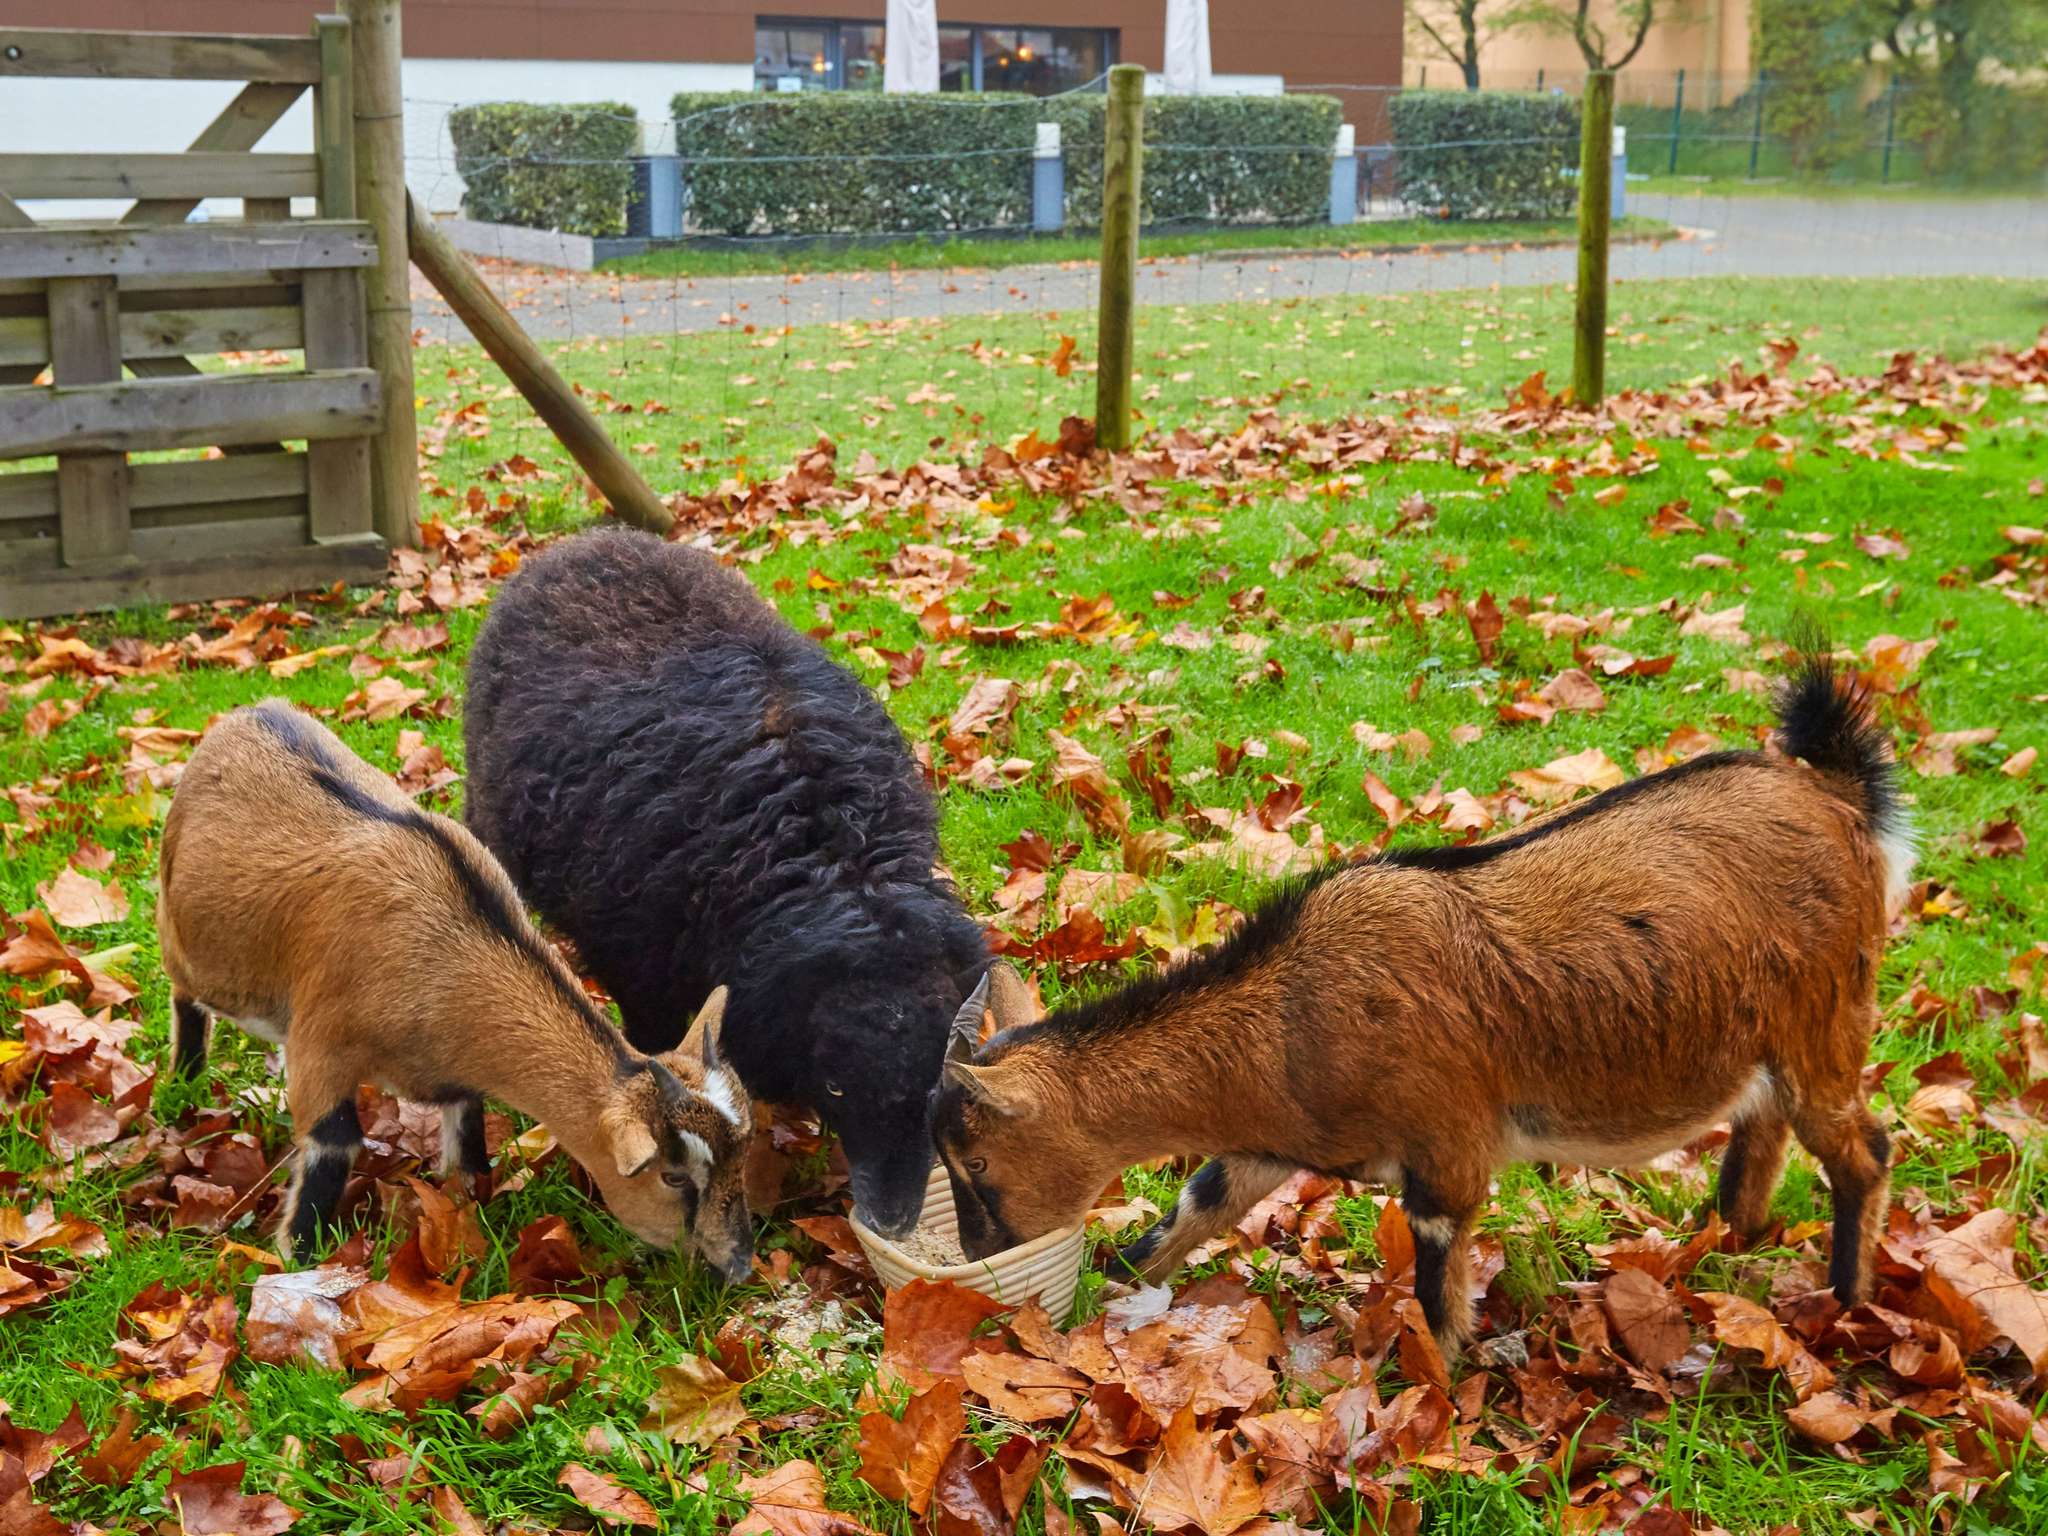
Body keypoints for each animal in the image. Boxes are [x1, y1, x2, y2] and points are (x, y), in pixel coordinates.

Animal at [157, 696, 753, 1277]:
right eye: (673, 1176)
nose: (739, 1267)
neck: (446, 949)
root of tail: (246, 714)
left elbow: (466, 1128)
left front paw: (472, 1204)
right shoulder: (322, 1043)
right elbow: (333, 1141)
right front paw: (296, 1259)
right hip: (182, 937)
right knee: (185, 997)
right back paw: (184, 1079)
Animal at [460, 528, 987, 1236]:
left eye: (934, 1083)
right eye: (837, 1085)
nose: (890, 1222)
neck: (831, 861)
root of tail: (587, 538)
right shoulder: (641, 974)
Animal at [937, 655, 1908, 1351]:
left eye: (976, 1162)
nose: (981, 1260)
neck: (1290, 1011)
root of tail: (1838, 795)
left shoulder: (1448, 1149)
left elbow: (1439, 1293)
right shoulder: (1271, 1141)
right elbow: (1192, 1208)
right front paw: (1102, 1298)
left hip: (1829, 1019)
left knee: (1863, 1149)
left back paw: (1848, 1305)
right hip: (1767, 1042)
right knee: (1760, 1129)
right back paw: (1716, 1250)